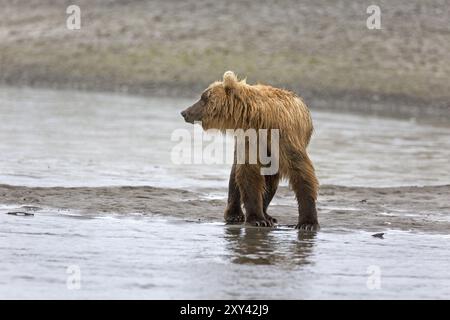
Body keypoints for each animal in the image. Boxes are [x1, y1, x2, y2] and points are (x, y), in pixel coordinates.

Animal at [180, 71, 320, 230]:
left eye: (204, 97)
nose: (185, 112)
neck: (260, 120)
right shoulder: (250, 141)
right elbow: (249, 174)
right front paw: (257, 219)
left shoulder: (285, 139)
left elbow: (302, 173)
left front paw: (308, 223)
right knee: (236, 176)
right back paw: (235, 214)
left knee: (270, 180)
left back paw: (267, 215)